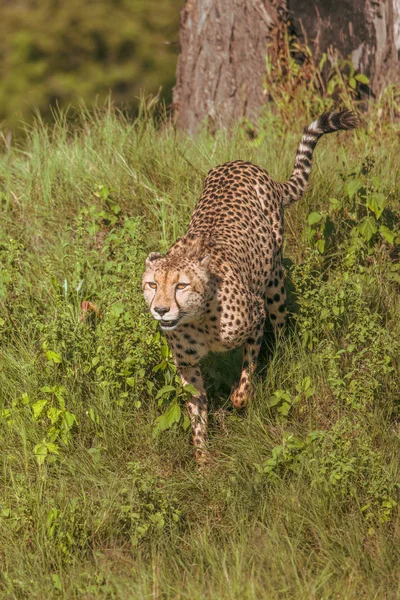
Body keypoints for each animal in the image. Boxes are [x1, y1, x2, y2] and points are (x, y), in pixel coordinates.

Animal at [142, 111, 358, 464]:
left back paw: (282, 356)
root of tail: (243, 163)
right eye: (152, 284)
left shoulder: (254, 318)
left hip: (274, 281)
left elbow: (246, 376)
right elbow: (196, 411)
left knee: (281, 326)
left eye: (181, 286)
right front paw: (203, 462)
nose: (160, 310)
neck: (198, 320)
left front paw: (238, 398)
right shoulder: (187, 364)